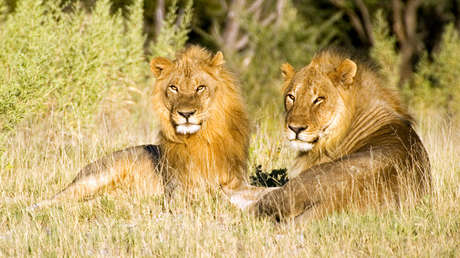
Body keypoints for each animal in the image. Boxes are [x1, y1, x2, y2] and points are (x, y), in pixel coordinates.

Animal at [31, 46, 270, 210]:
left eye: (200, 88)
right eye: (173, 88)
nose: (186, 114)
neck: (203, 137)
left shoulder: (235, 182)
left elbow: (255, 192)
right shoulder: (179, 192)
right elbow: (212, 196)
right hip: (95, 178)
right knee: (55, 200)